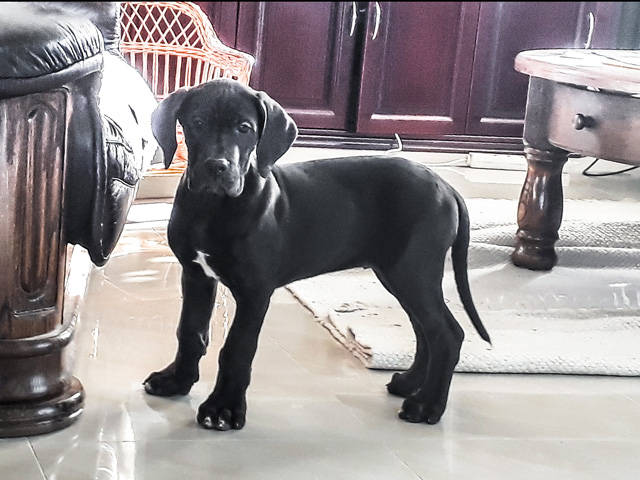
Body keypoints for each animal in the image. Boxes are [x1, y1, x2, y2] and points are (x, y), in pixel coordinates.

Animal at [144, 78, 491, 431]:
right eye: (197, 123)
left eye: (244, 128)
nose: (217, 166)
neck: (213, 207)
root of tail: (447, 187)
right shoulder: (196, 275)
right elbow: (190, 331)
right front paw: (177, 381)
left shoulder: (255, 291)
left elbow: (238, 348)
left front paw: (224, 408)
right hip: (400, 274)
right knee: (425, 330)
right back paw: (409, 384)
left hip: (413, 271)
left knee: (446, 333)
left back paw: (427, 405)